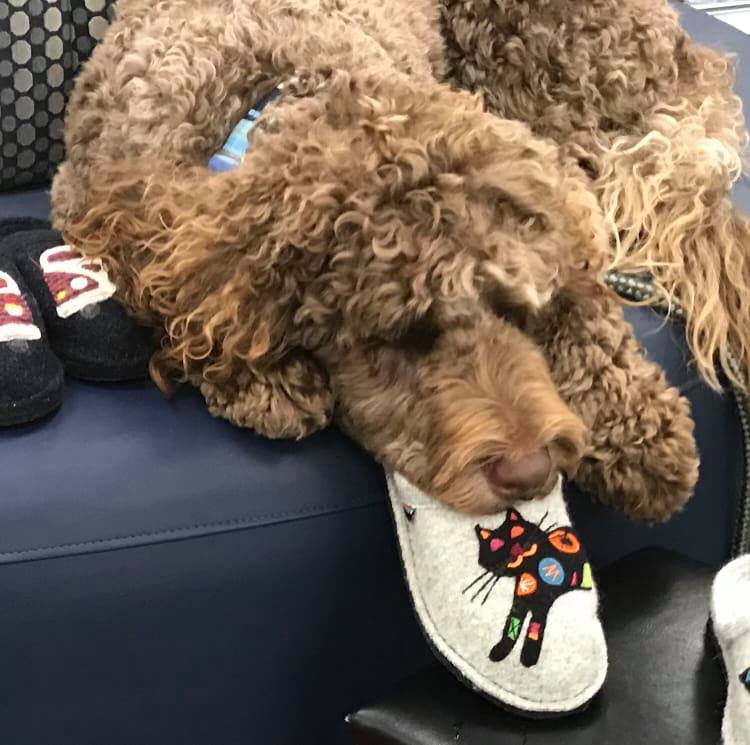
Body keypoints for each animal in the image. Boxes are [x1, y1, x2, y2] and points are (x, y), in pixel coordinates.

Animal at [53, 0, 700, 520]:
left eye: (516, 312)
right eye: (401, 336)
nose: (531, 473)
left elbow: (584, 293)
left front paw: (640, 430)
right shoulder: (99, 198)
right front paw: (264, 382)